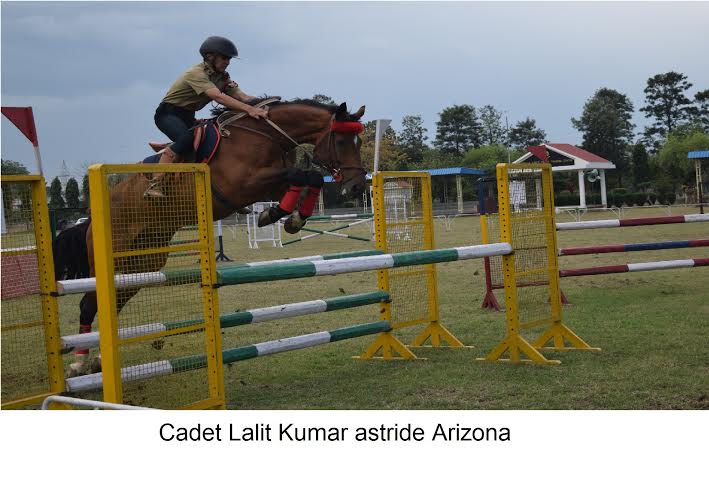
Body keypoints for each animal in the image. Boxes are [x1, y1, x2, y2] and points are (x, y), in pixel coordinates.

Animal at [53, 99, 366, 376]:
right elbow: (301, 174)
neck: (264, 135)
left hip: (143, 264)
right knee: (89, 305)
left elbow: (310, 178)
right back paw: (79, 364)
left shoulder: (272, 183)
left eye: (359, 142)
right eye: (341, 142)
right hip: (111, 262)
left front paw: (288, 217)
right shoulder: (243, 186)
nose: (356, 187)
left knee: (112, 304)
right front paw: (278, 215)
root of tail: (93, 217)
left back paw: (98, 360)